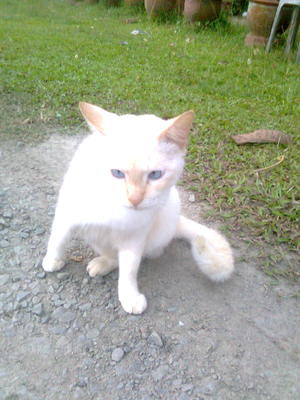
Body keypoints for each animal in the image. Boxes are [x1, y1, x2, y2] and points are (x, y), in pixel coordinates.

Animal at [42, 104, 234, 316]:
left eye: (155, 175)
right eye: (117, 173)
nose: (134, 199)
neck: (114, 205)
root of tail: (177, 220)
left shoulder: (134, 239)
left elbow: (129, 270)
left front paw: (129, 296)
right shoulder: (66, 216)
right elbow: (57, 240)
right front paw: (52, 261)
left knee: (126, 256)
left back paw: (102, 265)